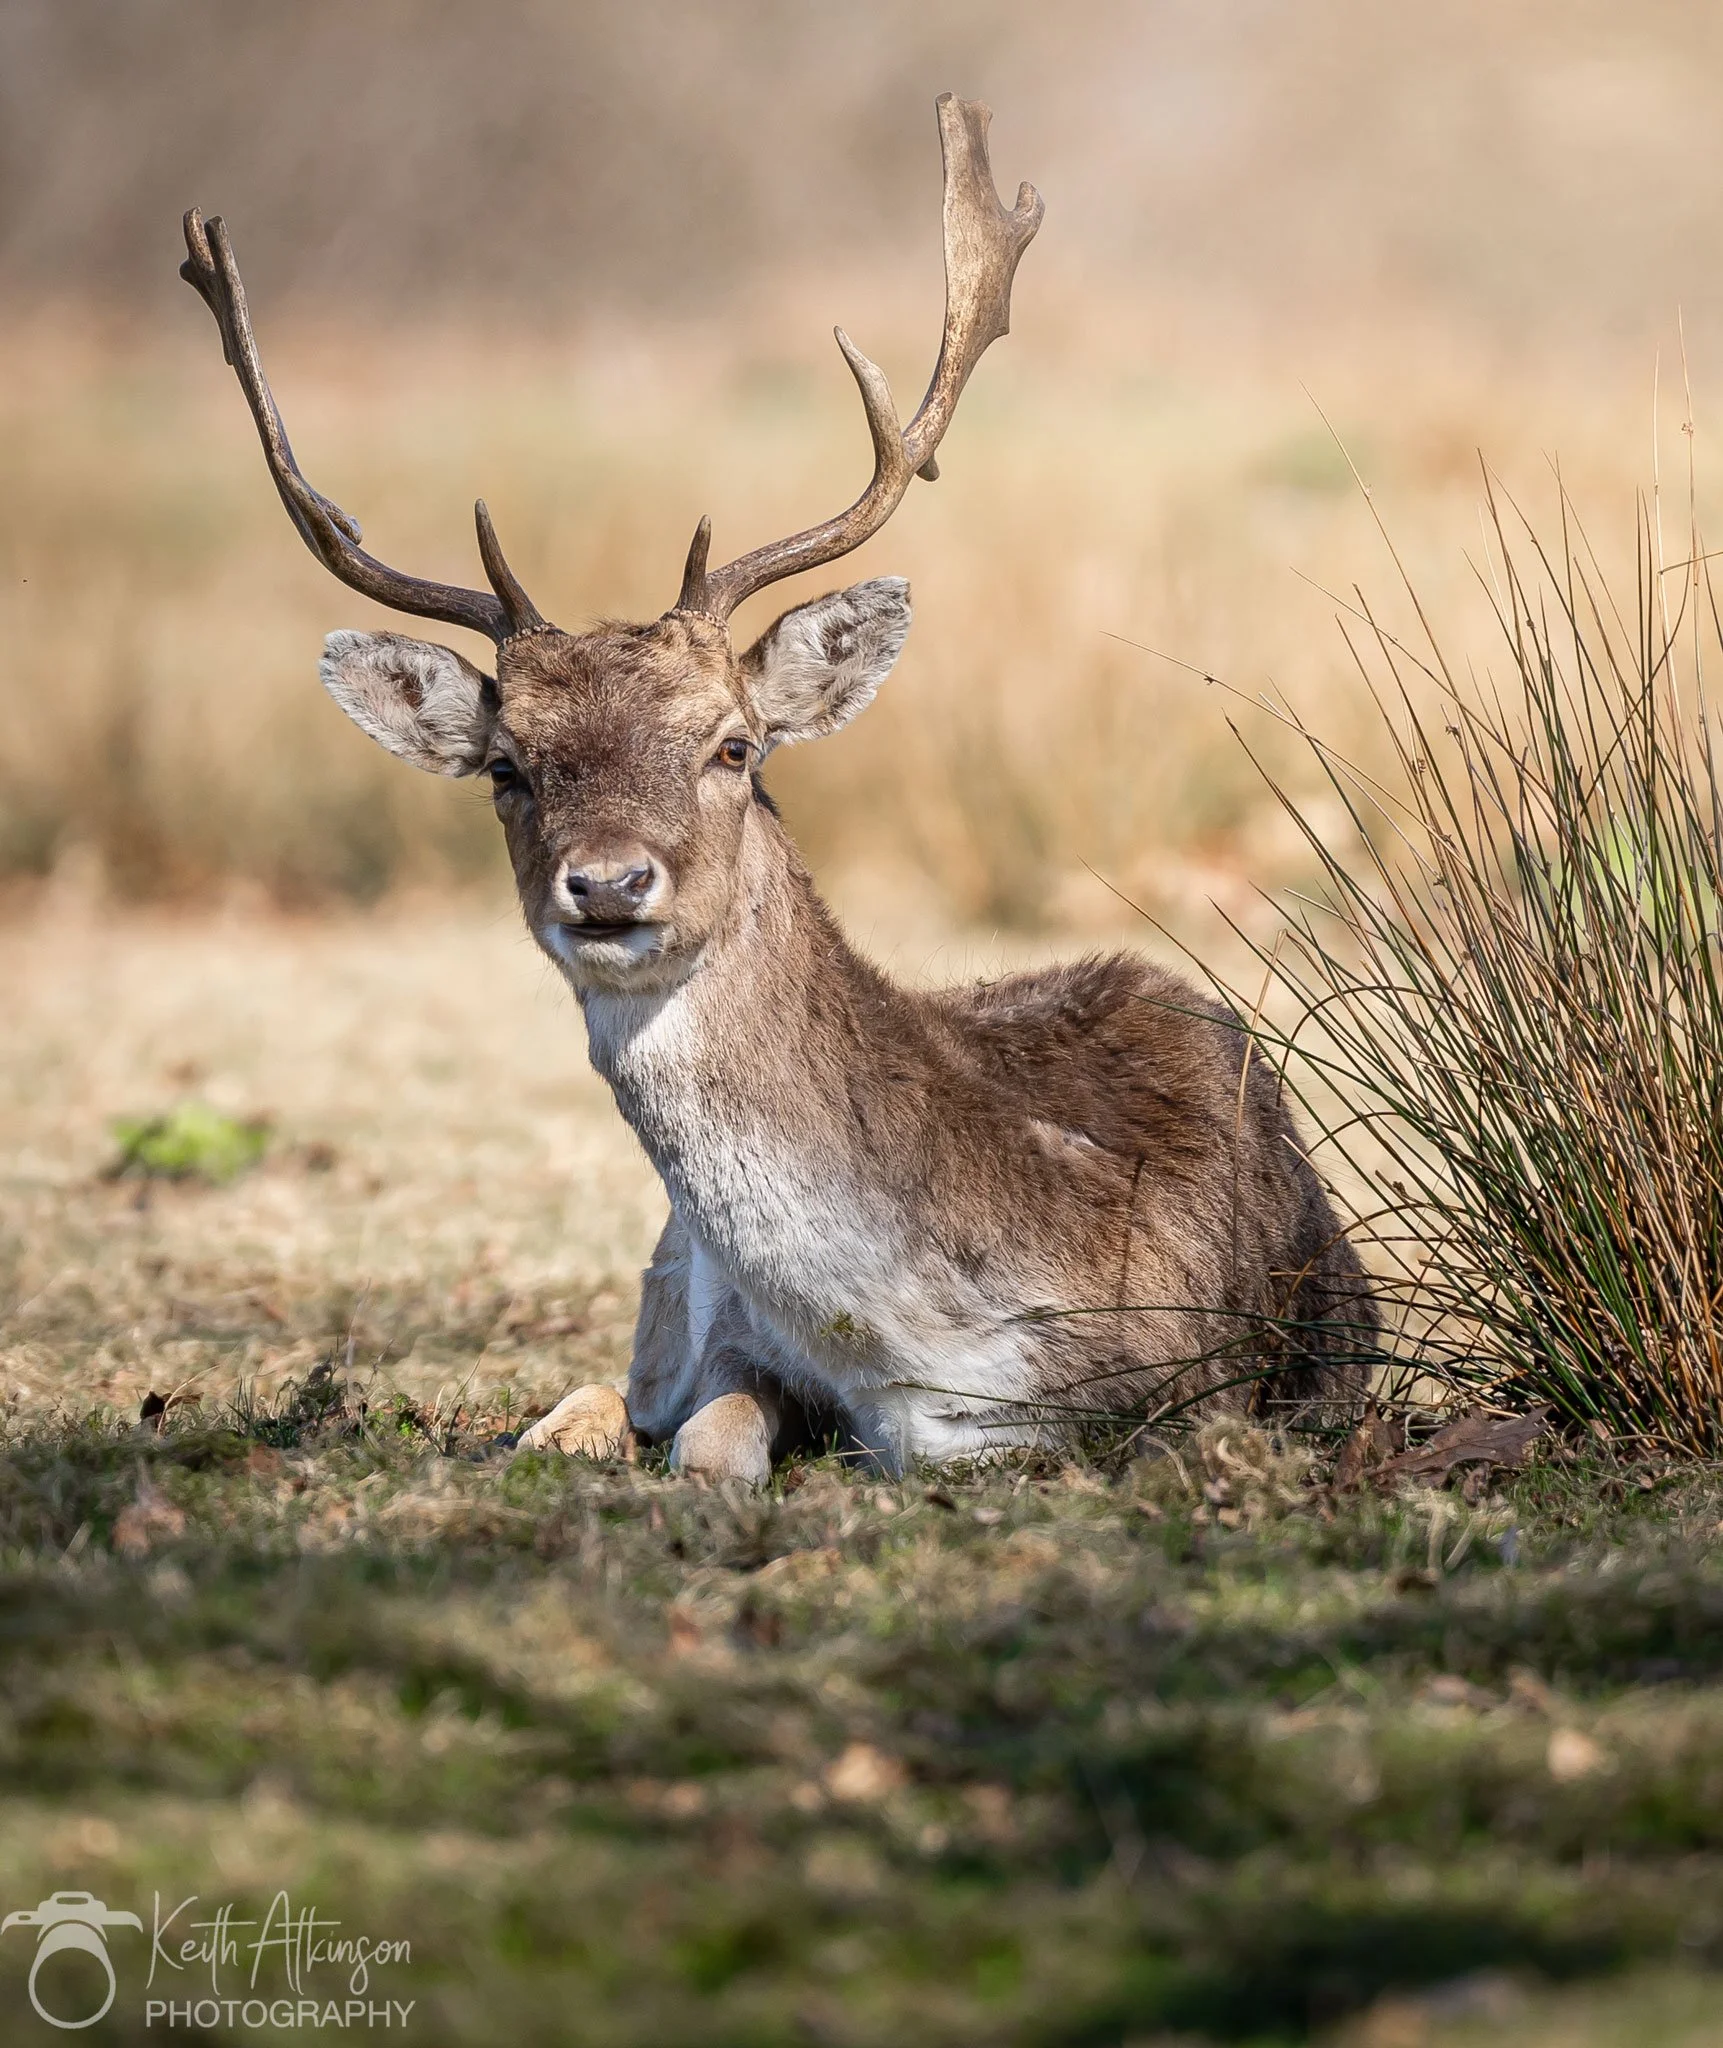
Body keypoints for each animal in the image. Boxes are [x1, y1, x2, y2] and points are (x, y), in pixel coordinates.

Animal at [181, 94, 1374, 1484]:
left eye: (734, 745)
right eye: (506, 764)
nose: (607, 883)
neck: (918, 1339)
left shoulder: (1206, 1384)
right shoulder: (735, 1338)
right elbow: (709, 1435)